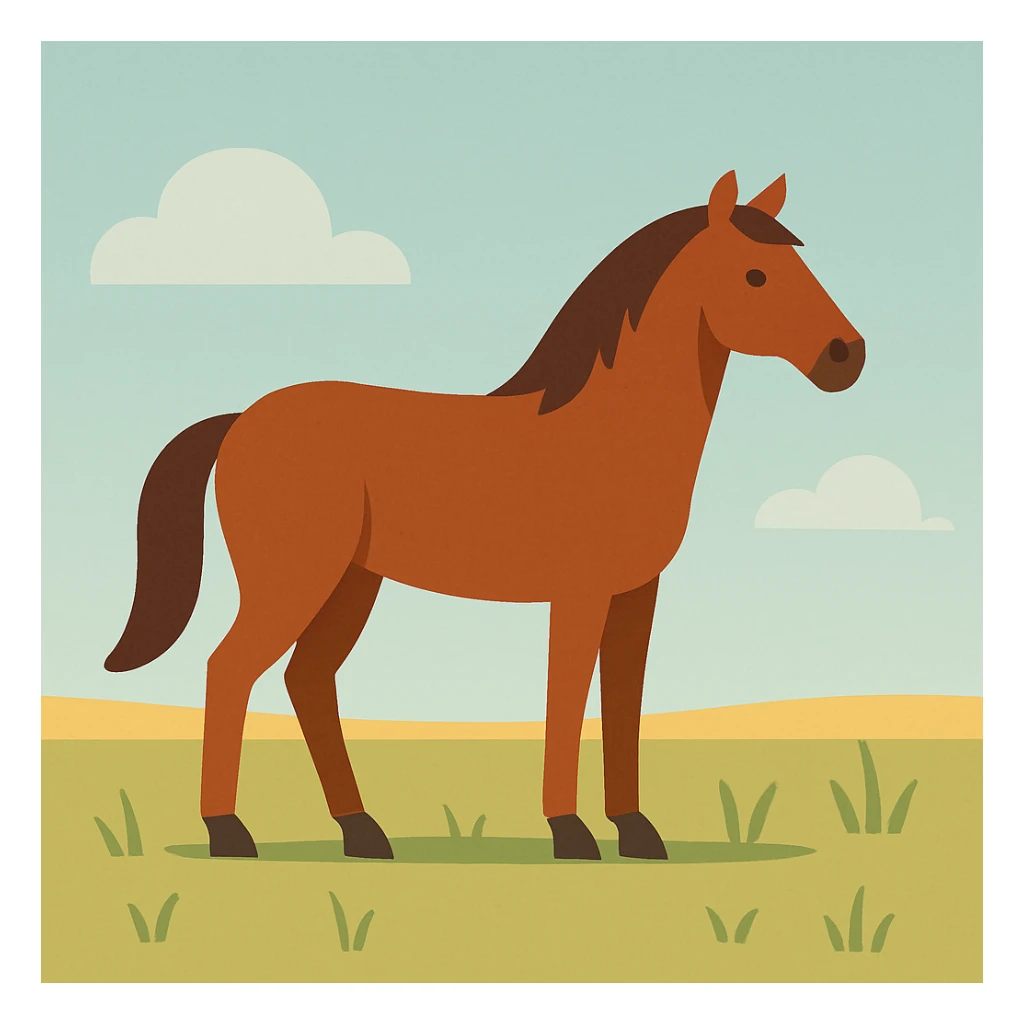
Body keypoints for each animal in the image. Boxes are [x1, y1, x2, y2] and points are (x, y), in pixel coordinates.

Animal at [104, 170, 865, 861]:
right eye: (757, 275)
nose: (846, 357)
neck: (611, 430)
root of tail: (240, 420)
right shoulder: (580, 593)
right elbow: (566, 700)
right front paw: (571, 833)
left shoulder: (636, 592)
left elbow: (623, 703)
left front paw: (637, 832)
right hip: (293, 578)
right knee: (230, 669)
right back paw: (230, 834)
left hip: (352, 581)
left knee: (307, 681)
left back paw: (362, 833)